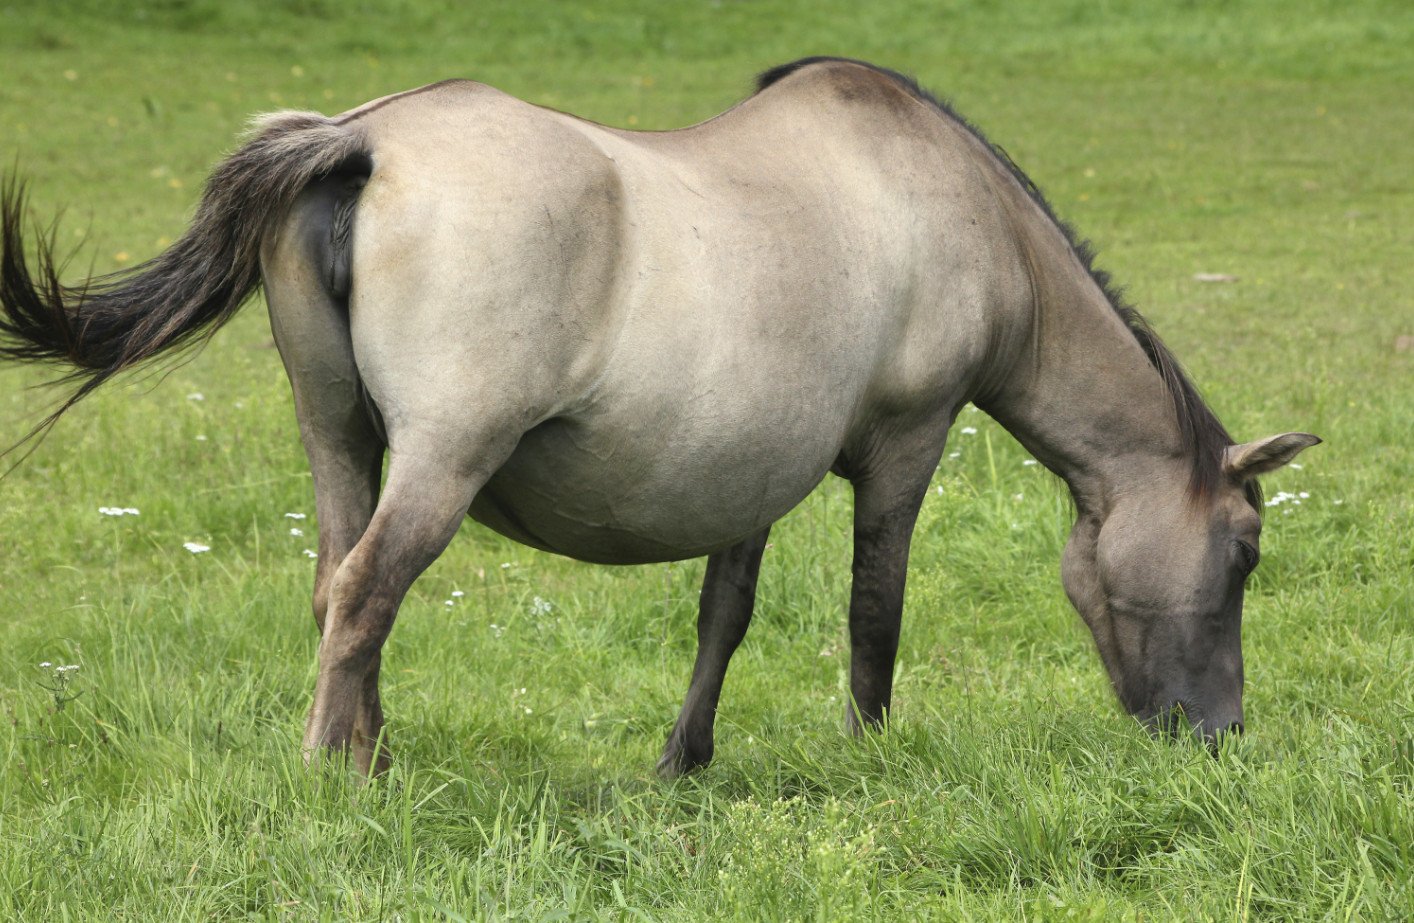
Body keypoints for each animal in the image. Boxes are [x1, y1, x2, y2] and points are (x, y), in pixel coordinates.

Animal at [5, 57, 1317, 774]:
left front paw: (683, 759)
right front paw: (871, 752)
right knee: (370, 589)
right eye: (1245, 551)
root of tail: (360, 139)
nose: (1220, 732)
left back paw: (370, 752)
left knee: (336, 590)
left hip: (338, 439)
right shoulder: (907, 442)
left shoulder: (750, 470)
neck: (953, 210)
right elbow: (875, 611)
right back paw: (340, 773)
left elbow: (721, 617)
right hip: (439, 459)